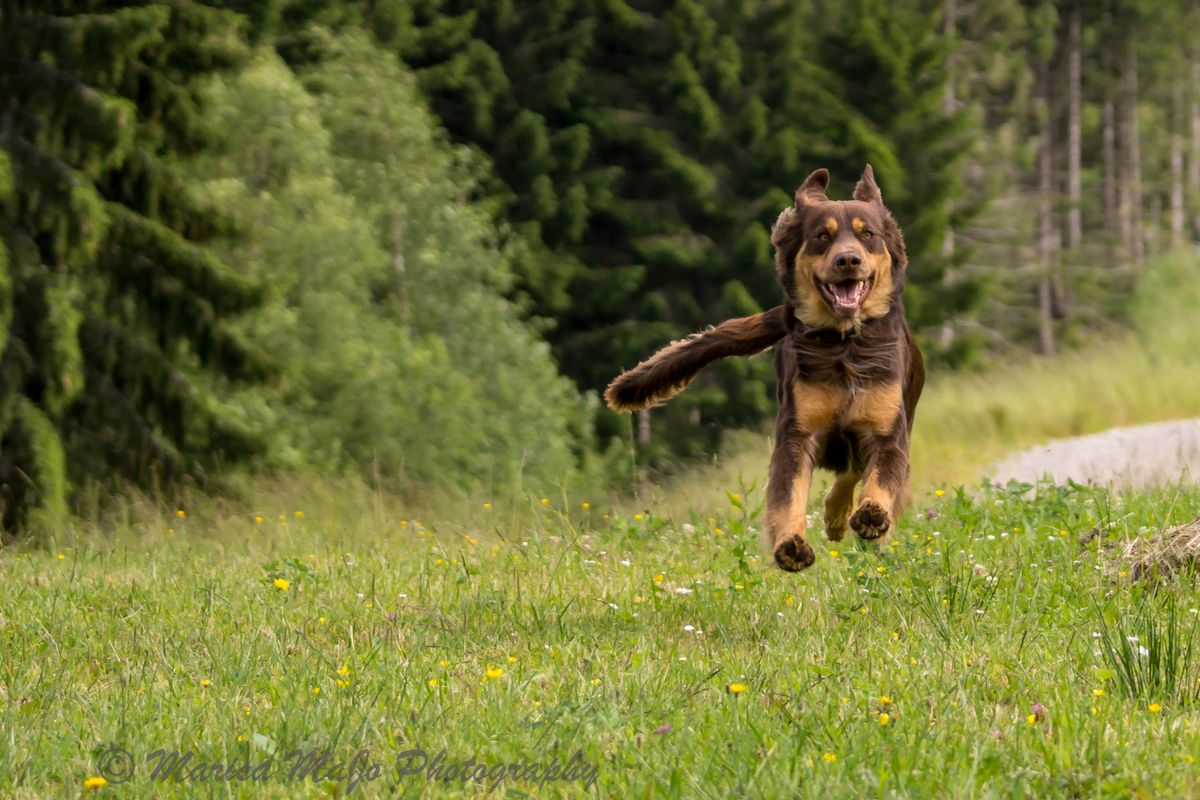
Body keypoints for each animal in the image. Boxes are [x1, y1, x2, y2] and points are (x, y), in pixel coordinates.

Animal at [604, 165, 921, 573]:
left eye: (868, 235)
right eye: (821, 237)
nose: (848, 260)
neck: (843, 344)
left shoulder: (888, 429)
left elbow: (882, 476)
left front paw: (873, 514)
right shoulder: (797, 431)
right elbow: (788, 492)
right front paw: (791, 544)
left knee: (852, 470)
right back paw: (835, 517)